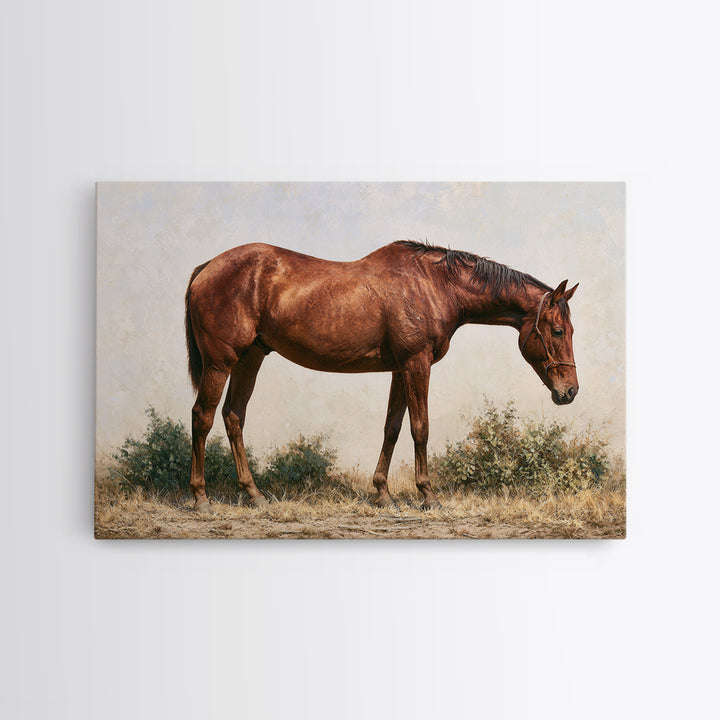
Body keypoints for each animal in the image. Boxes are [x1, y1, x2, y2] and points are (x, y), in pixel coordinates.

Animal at [184, 240, 579, 511]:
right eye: (558, 331)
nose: (570, 391)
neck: (434, 285)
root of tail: (206, 267)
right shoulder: (417, 363)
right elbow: (420, 428)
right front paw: (428, 495)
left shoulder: (400, 369)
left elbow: (393, 427)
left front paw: (383, 493)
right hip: (220, 363)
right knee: (203, 417)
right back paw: (201, 497)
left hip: (250, 359)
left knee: (233, 417)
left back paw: (254, 494)